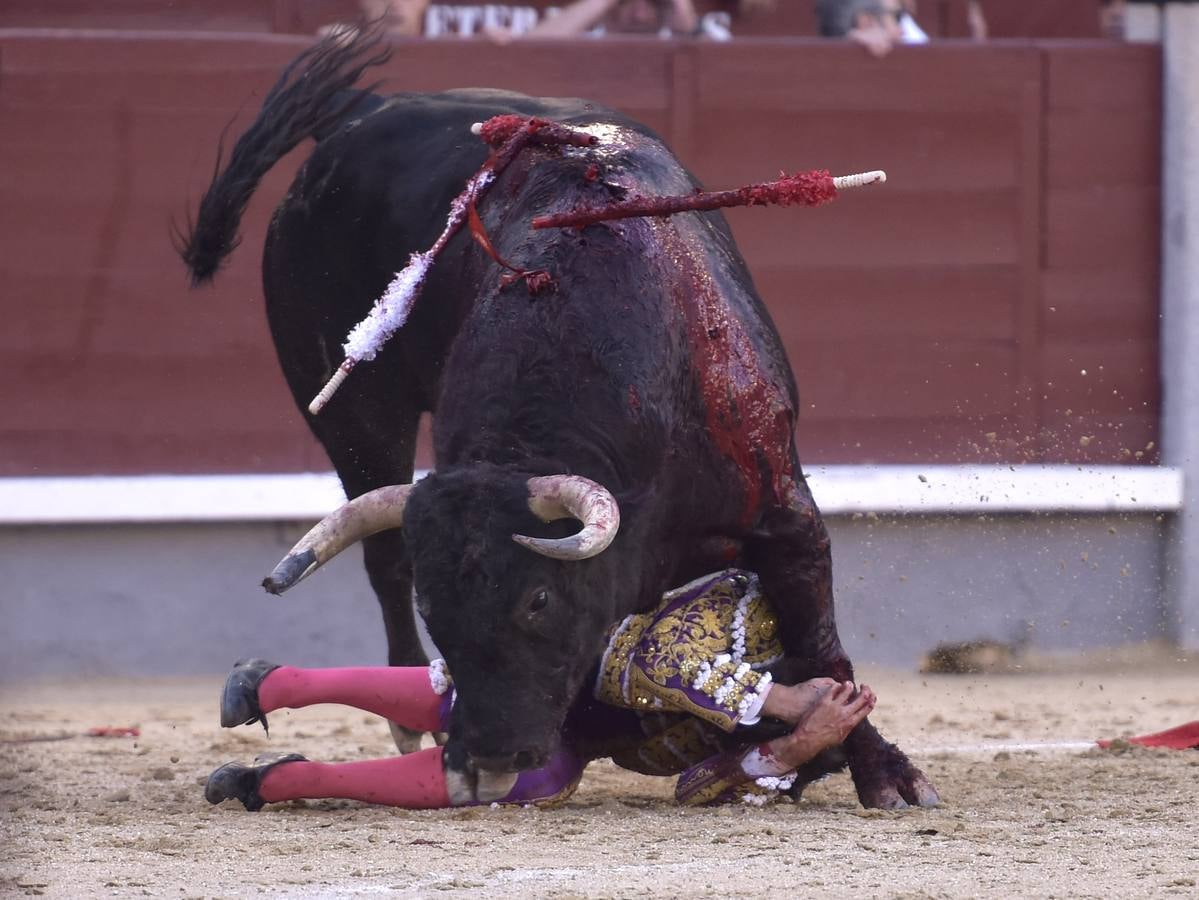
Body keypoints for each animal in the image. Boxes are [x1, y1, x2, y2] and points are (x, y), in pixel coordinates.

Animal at [184, 29, 935, 810]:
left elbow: (821, 646)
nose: (485, 756)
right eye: (435, 608)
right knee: (384, 558)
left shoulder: (785, 514)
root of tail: (360, 118)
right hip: (352, 410)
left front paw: (885, 774)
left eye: (538, 598)